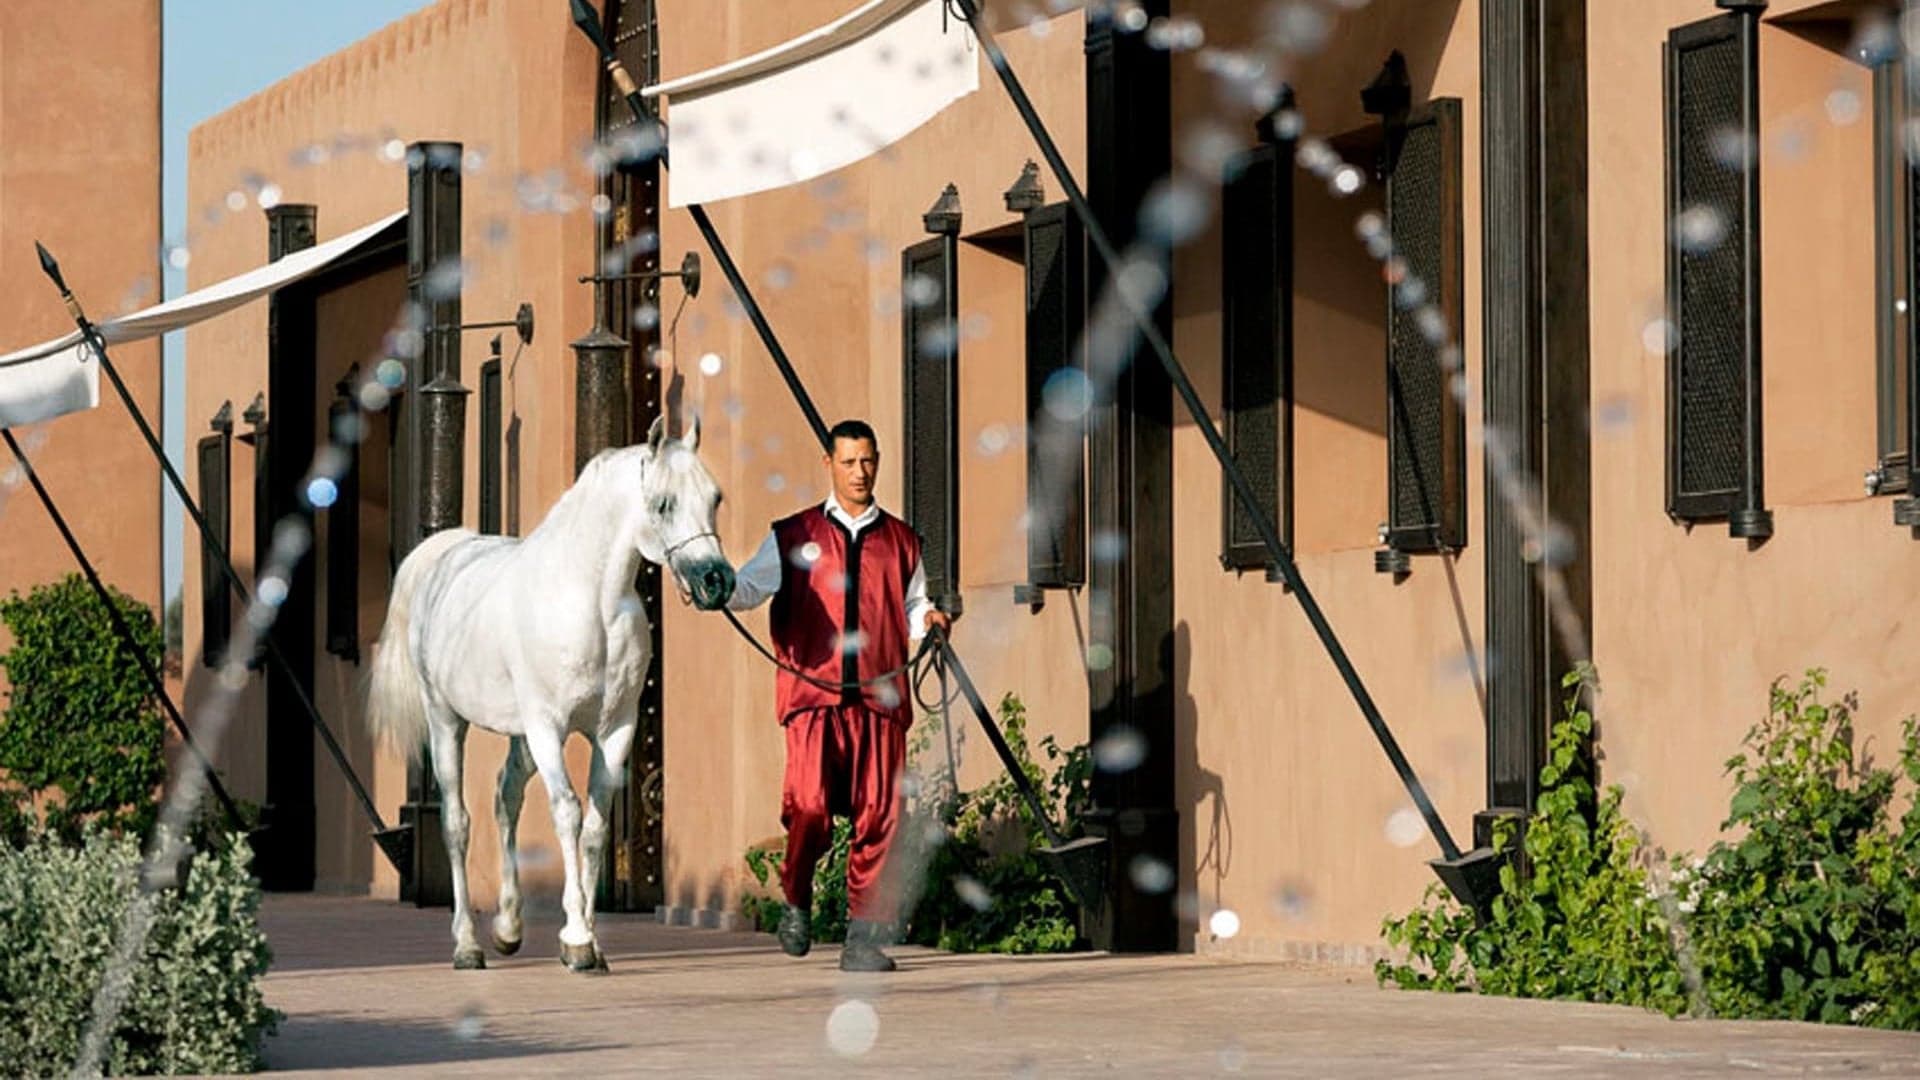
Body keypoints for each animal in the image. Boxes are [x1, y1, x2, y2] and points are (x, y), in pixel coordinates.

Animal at [366, 415, 734, 971]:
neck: (591, 603)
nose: (717, 581)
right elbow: (567, 813)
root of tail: (447, 554)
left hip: (520, 739)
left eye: (715, 496)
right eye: (664, 502)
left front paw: (585, 941)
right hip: (447, 721)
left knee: (505, 797)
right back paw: (468, 944)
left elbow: (596, 828)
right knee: (457, 821)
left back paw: (507, 928)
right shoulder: (549, 729)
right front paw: (578, 940)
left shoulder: (616, 730)